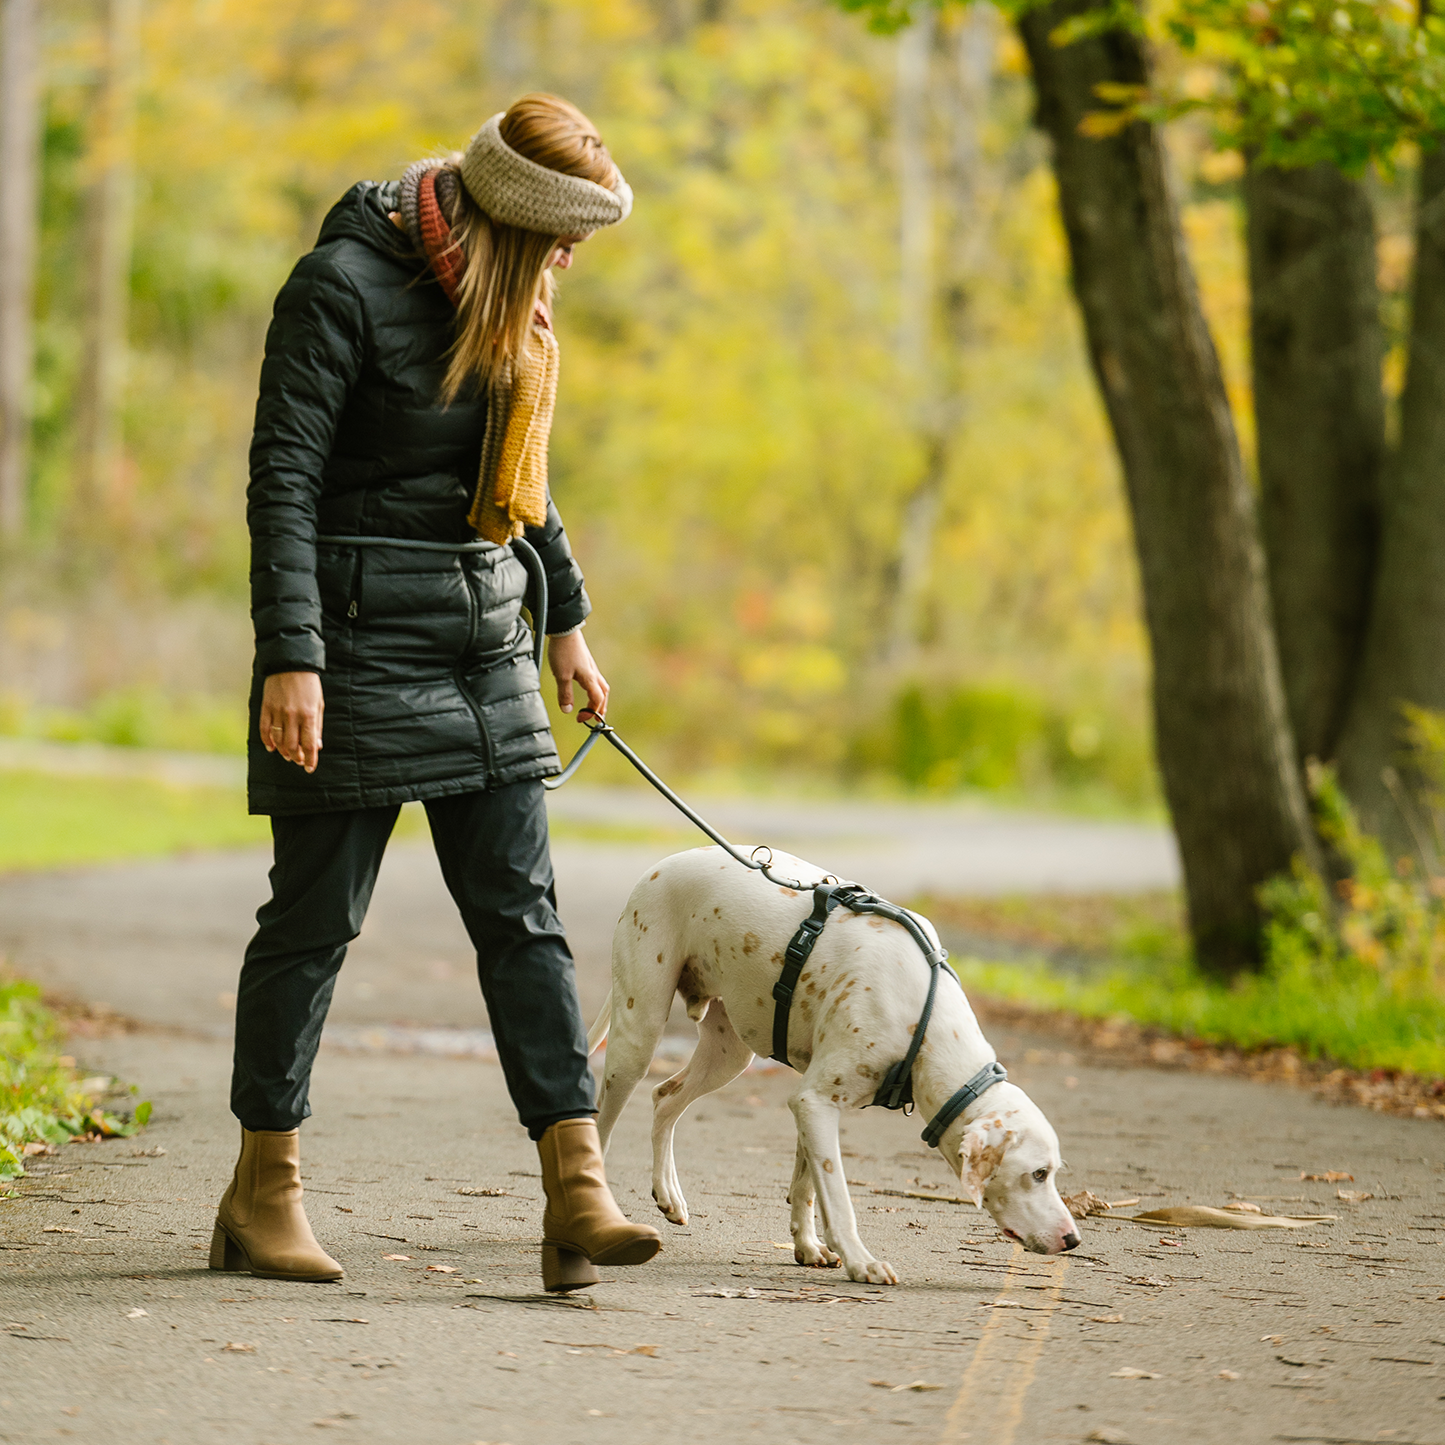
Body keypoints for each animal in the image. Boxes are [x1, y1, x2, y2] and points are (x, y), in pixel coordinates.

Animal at [589, 843, 1086, 1288]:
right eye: (1038, 1174)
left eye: (1053, 1172)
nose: (1074, 1240)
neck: (922, 1022)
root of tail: (660, 865)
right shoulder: (816, 1103)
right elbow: (839, 1199)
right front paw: (861, 1262)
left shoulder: (811, 1105)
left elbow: (807, 1187)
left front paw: (807, 1246)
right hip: (637, 1038)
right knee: (603, 1125)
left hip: (727, 1056)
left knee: (664, 1098)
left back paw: (668, 1195)